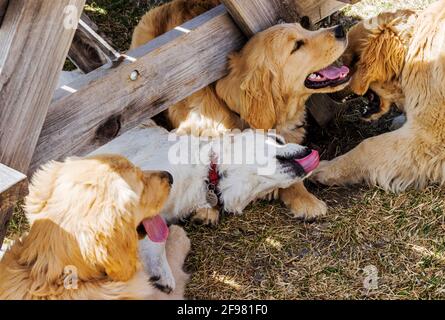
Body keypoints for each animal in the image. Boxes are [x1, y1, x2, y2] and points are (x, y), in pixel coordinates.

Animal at [310, 1, 444, 191]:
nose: (332, 93)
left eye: (348, 63)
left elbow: (367, 145)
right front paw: (401, 120)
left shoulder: (430, 137)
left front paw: (326, 169)